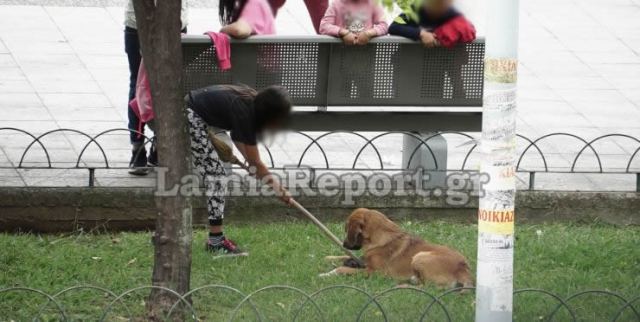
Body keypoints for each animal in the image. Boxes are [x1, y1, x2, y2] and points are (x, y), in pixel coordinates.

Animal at [322, 209, 472, 290]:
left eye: (347, 229)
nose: (344, 245)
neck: (380, 236)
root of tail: (463, 268)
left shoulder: (374, 272)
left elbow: (343, 269)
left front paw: (327, 273)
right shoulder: (365, 261)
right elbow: (345, 257)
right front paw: (329, 258)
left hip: (420, 256)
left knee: (430, 288)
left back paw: (403, 286)